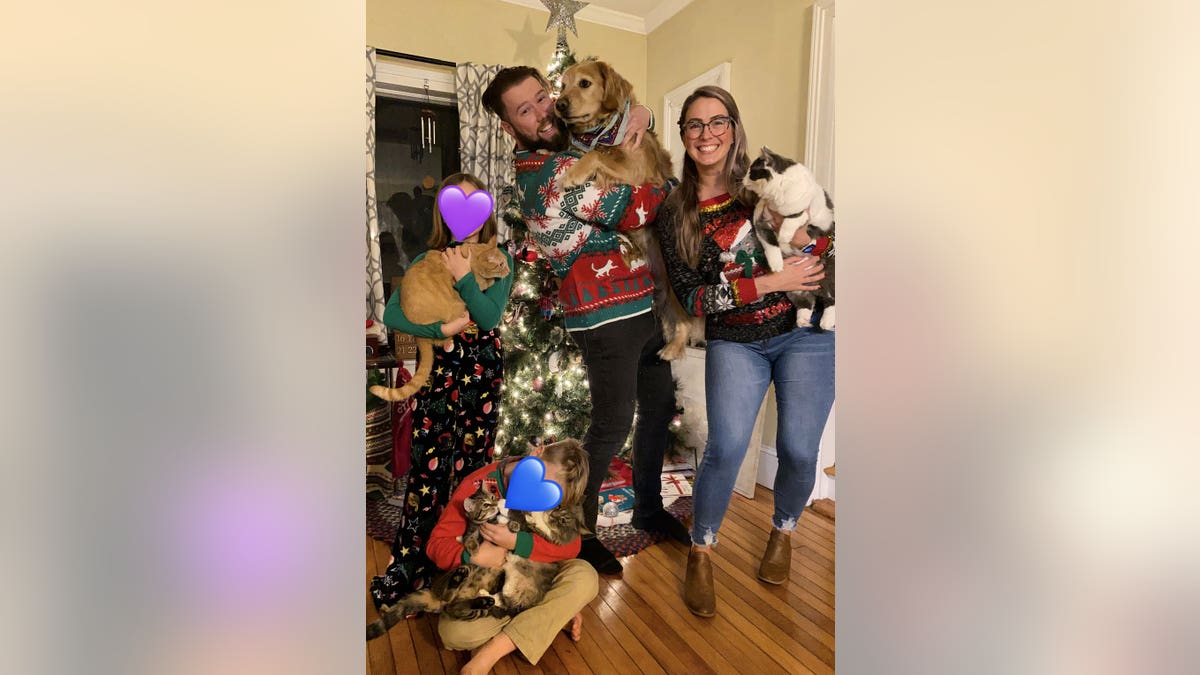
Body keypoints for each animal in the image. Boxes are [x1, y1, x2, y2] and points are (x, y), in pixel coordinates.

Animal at [367, 480, 588, 638]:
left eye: (492, 495)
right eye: (486, 504)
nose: (495, 504)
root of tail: (437, 598)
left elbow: (515, 523)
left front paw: (513, 524)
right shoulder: (474, 530)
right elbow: (470, 537)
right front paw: (473, 545)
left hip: (476, 605)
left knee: (461, 605)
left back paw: (482, 598)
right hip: (459, 580)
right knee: (453, 598)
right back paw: (465, 582)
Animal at [369, 235, 511, 398]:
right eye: (501, 264)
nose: (509, 271)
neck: (469, 253)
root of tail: (418, 335)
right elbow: (484, 282)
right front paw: (491, 280)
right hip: (455, 312)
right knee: (442, 339)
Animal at [739, 145, 835, 329]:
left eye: (751, 171)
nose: (743, 177)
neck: (776, 196)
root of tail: (814, 287)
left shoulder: (802, 212)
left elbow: (791, 220)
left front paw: (783, 236)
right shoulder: (761, 223)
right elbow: (771, 246)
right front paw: (777, 265)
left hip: (829, 277)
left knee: (831, 300)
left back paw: (826, 323)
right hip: (795, 291)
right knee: (806, 303)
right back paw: (802, 321)